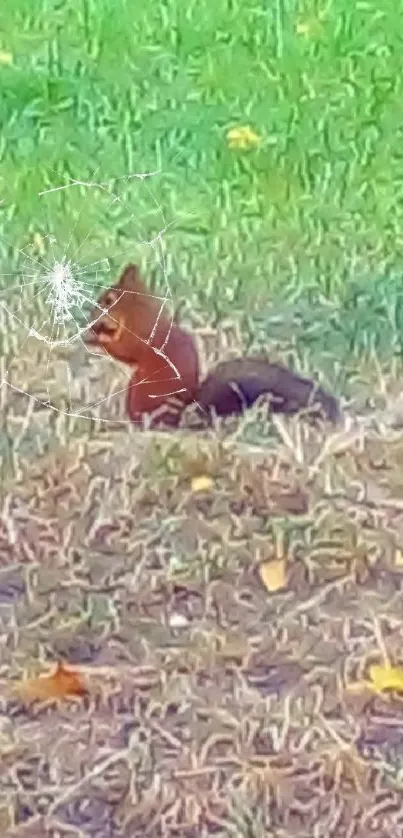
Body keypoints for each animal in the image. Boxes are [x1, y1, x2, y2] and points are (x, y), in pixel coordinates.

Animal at [85, 266, 340, 430]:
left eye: (107, 300)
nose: (90, 317)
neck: (136, 310)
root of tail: (182, 417)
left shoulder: (142, 332)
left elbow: (127, 349)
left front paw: (96, 339)